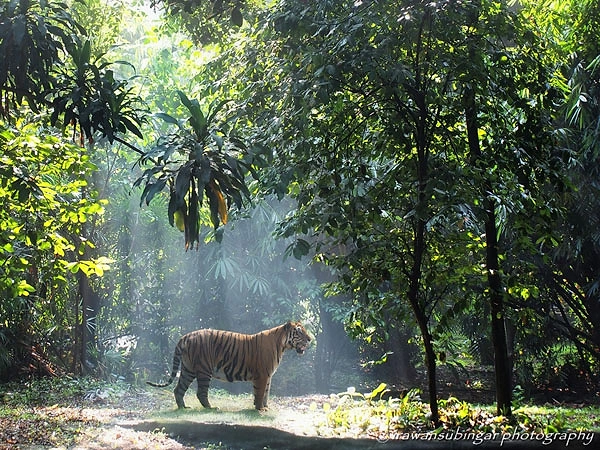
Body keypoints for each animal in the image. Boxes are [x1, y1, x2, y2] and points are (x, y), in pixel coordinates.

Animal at [146, 320, 312, 412]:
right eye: (299, 332)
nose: (310, 339)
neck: (282, 345)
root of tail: (186, 336)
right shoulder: (263, 375)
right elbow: (260, 393)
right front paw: (259, 409)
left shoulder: (268, 376)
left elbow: (266, 393)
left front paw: (265, 407)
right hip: (204, 370)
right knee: (201, 392)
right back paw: (211, 408)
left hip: (188, 370)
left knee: (178, 389)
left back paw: (183, 408)